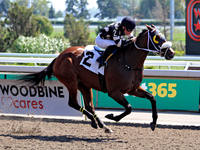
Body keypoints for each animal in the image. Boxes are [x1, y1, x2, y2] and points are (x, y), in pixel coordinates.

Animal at [18, 24, 175, 132]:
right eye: (157, 37)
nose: (171, 53)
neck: (128, 62)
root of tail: (59, 57)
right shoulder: (114, 92)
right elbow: (129, 108)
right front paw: (112, 116)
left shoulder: (133, 89)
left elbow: (152, 98)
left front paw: (153, 123)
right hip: (71, 81)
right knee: (73, 103)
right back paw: (97, 122)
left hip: (84, 84)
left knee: (89, 105)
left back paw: (102, 125)